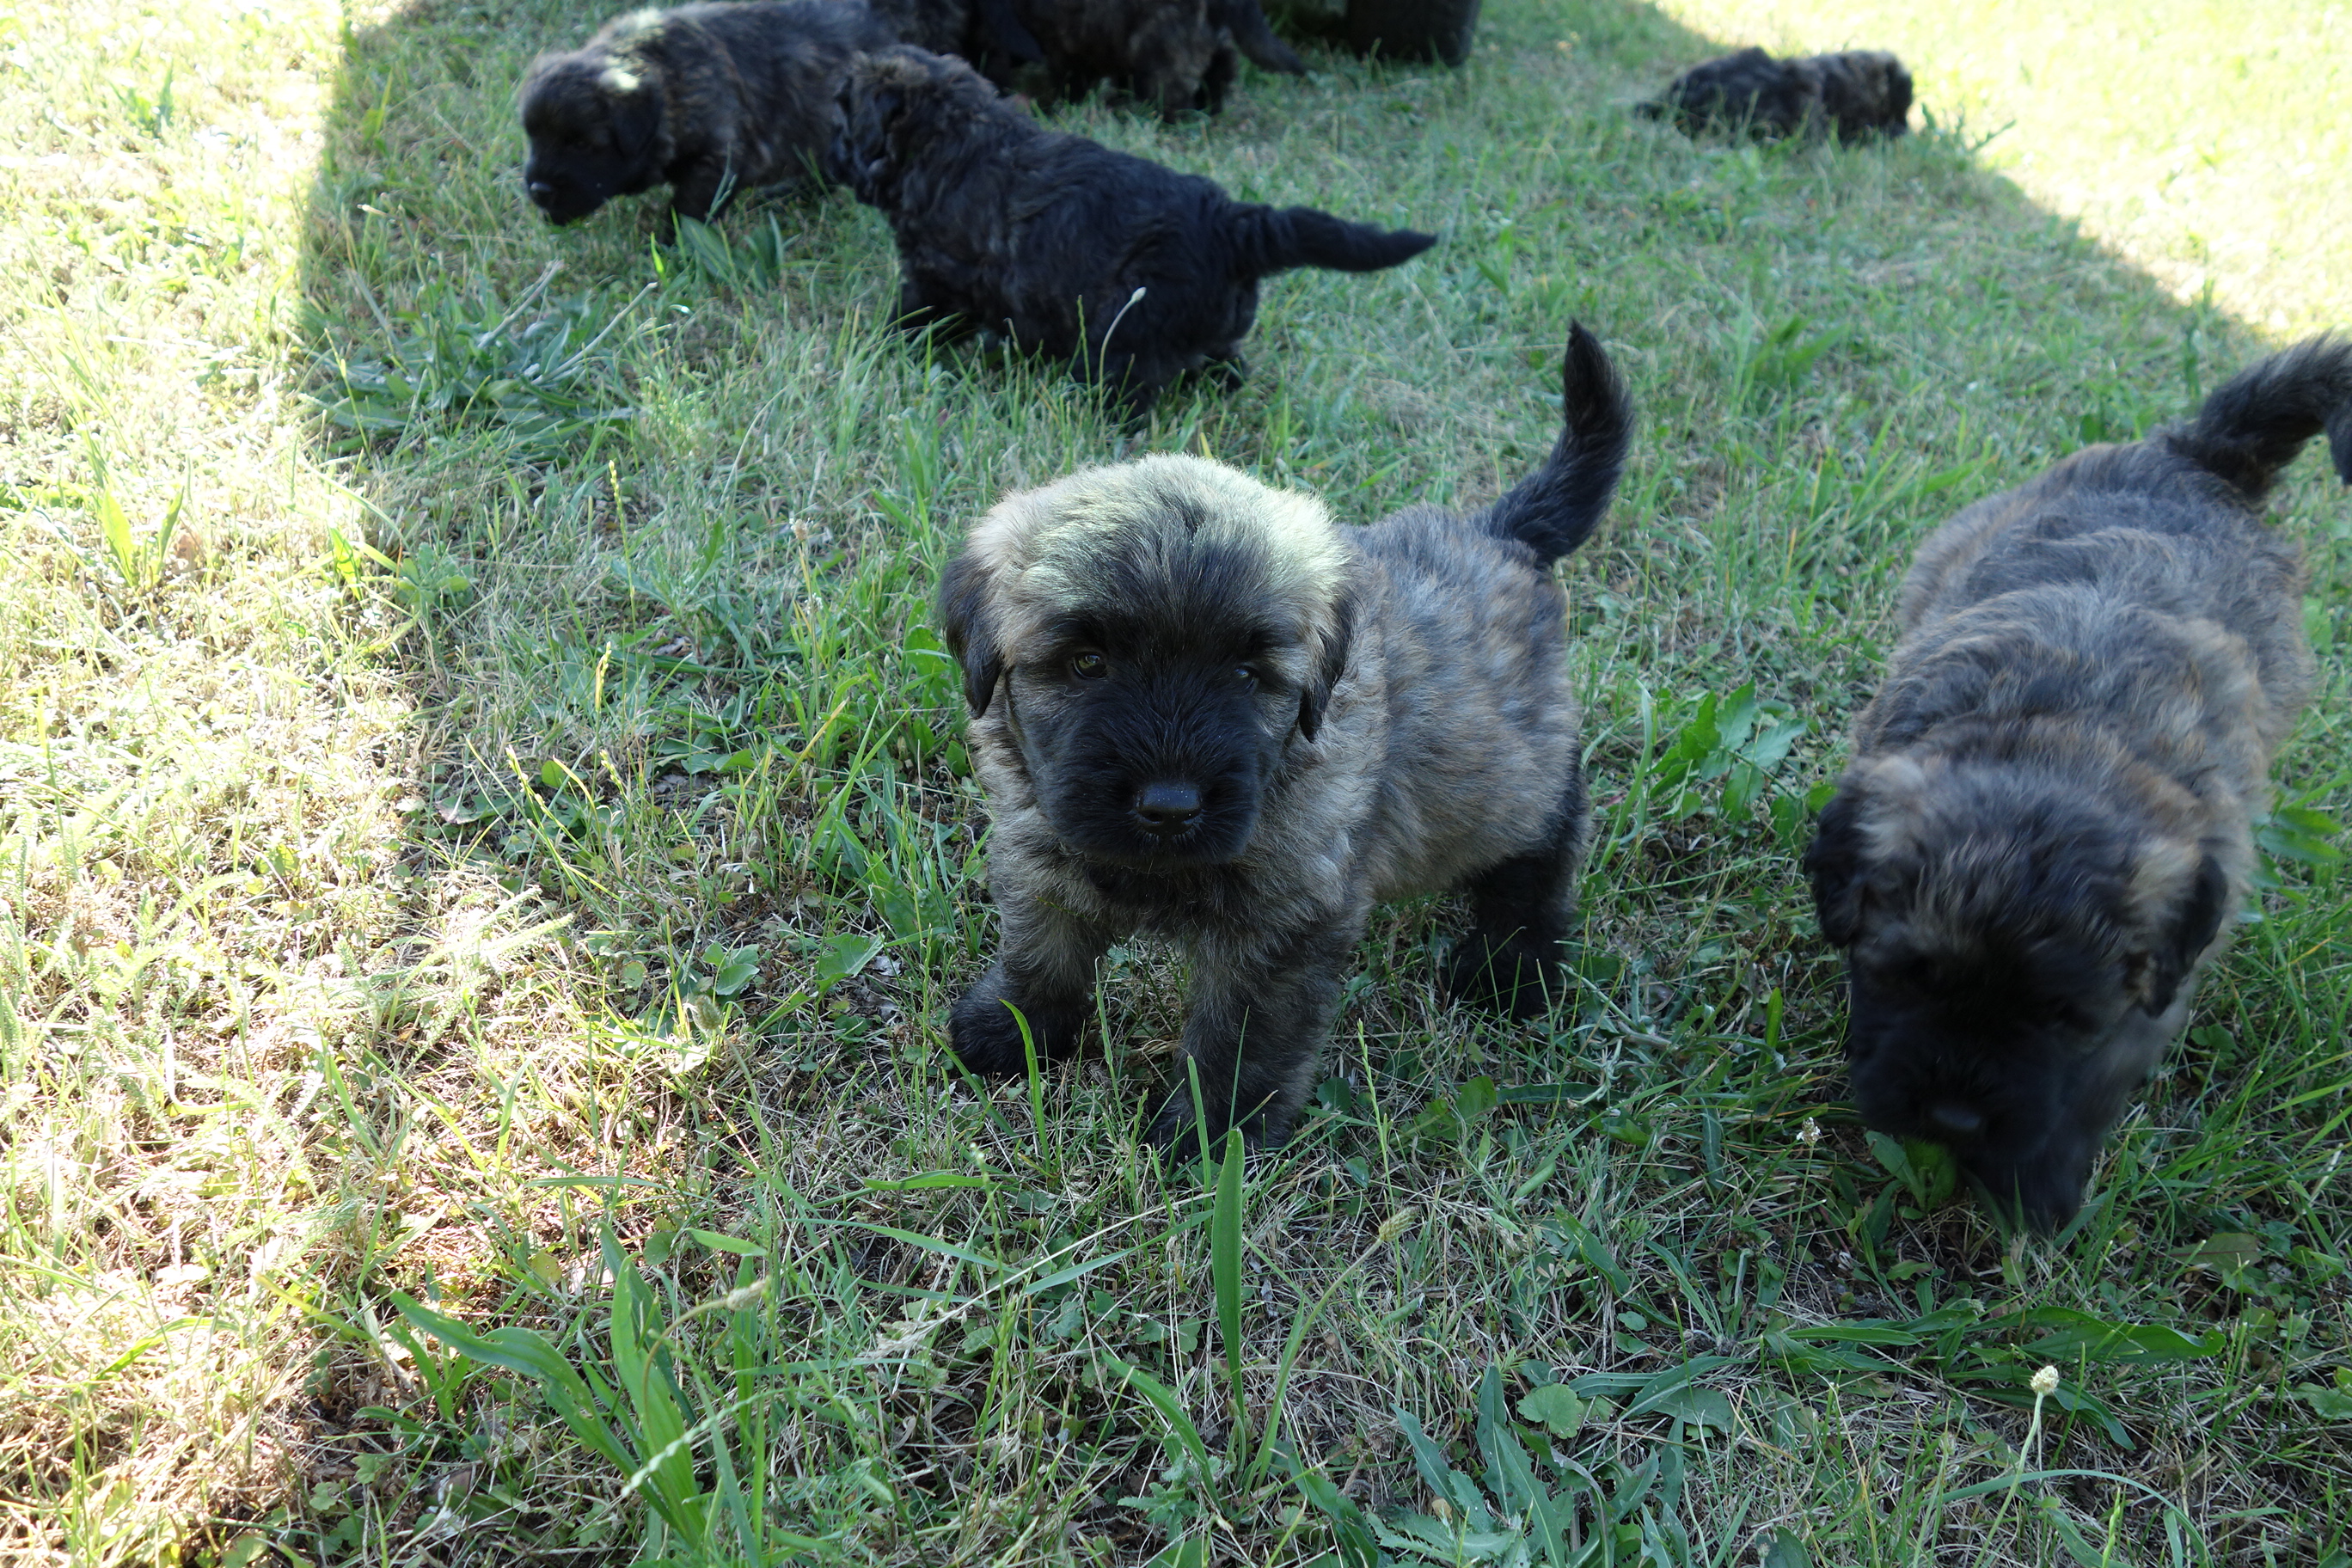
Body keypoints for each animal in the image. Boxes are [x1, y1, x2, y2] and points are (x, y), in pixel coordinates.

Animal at [827, 45, 1434, 419]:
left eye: (844, 115)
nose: (829, 154)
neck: (949, 139)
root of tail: (1232, 225)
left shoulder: (936, 279)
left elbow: (909, 320)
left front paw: (874, 346)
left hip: (1121, 337)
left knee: (1123, 392)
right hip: (1206, 330)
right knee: (1229, 365)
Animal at [934, 325, 1633, 1149]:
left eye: (1246, 673)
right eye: (1087, 661)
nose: (1169, 806)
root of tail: (1498, 532)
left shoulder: (1283, 923)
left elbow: (1240, 1037)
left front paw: (1213, 1133)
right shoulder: (1041, 847)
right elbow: (1041, 947)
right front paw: (1012, 1027)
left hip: (1503, 776)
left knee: (1545, 844)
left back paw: (1511, 969)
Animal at [993, 0, 1305, 119]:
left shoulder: (1069, 46)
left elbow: (1073, 82)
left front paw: (1061, 107)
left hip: (1163, 50)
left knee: (1173, 93)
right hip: (1208, 40)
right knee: (1222, 70)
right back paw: (1209, 111)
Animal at [1805, 337, 2352, 1229]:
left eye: (2064, 1018)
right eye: (1910, 976)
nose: (1953, 1118)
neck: (2063, 735)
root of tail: (2194, 452)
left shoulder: (2153, 995)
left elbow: (2096, 1084)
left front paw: (2041, 1184)